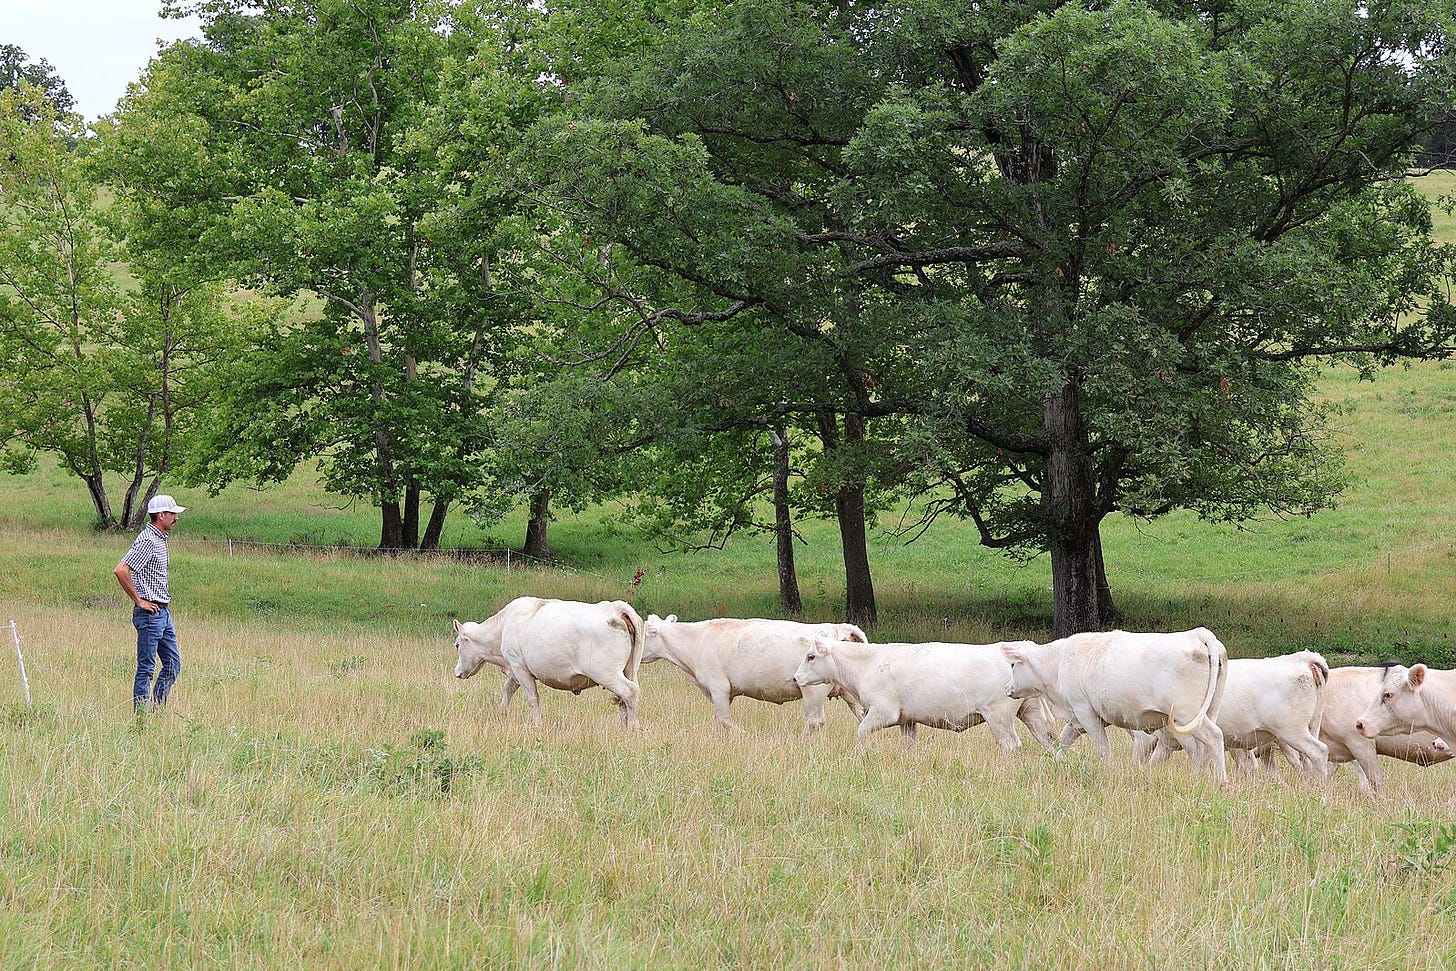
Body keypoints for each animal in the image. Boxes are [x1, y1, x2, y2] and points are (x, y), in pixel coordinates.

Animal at [452, 597, 644, 728]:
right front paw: (502, 712)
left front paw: (537, 724)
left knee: (629, 692)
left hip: (606, 673)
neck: (505, 624)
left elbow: (532, 698)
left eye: (457, 645)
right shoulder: (516, 669)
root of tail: (616, 608)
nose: (457, 672)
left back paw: (631, 727)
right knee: (623, 699)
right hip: (628, 670)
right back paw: (624, 726)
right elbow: (508, 689)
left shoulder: (519, 668)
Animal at [642, 614, 868, 733]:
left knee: (814, 721)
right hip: (849, 691)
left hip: (813, 691)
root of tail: (837, 628)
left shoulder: (719, 687)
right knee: (862, 715)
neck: (696, 641)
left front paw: (746, 735)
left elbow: (724, 720)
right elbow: (721, 721)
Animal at [791, 637, 1060, 751]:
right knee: (1048, 740)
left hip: (999, 715)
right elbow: (908, 746)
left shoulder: (883, 712)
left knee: (1010, 745)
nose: (795, 678)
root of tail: (1023, 646)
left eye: (811, 656)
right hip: (1030, 710)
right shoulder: (907, 720)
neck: (869, 663)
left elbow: (861, 732)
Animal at [1003, 628, 1229, 783]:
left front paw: (1107, 769)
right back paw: (1200, 776)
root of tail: (1198, 634)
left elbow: (1103, 747)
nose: (1007, 688)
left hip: (1187, 714)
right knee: (1201, 748)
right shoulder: (1077, 718)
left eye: (1013, 664)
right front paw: (1056, 761)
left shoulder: (1085, 712)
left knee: (1213, 737)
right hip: (1204, 712)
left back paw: (1221, 781)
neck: (1058, 663)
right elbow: (1064, 739)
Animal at [1130, 651, 1330, 779]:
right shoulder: (1166, 743)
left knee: (1318, 752)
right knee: (1304, 763)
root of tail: (1303, 659)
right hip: (1302, 730)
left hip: (1291, 731)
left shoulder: (1185, 739)